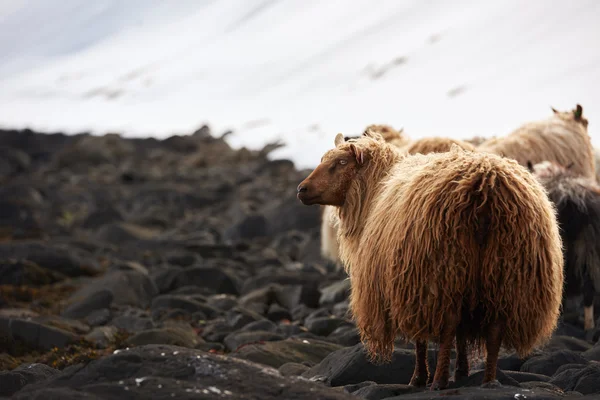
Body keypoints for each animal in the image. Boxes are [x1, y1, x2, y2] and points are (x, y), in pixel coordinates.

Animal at [298, 131, 564, 390]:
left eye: (342, 163)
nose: (302, 189)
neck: (376, 187)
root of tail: (486, 186)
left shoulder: (411, 282)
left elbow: (422, 339)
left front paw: (420, 377)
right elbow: (462, 334)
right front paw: (462, 371)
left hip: (441, 268)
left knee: (449, 325)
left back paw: (438, 380)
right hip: (506, 271)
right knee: (494, 328)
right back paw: (489, 380)